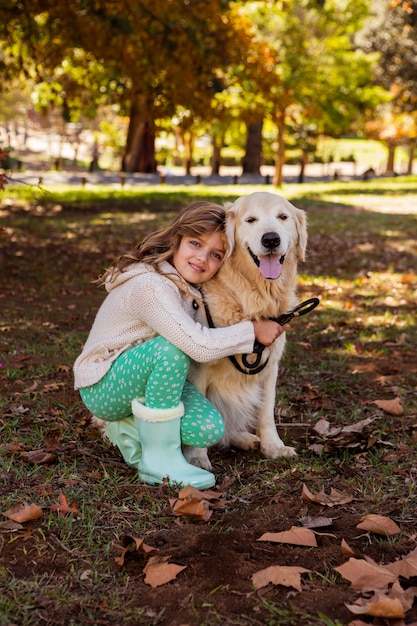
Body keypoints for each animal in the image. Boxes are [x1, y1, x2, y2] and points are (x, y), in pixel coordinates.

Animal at [184, 190, 308, 468]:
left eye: (283, 217)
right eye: (250, 220)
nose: (271, 239)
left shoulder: (270, 366)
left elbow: (266, 411)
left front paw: (273, 447)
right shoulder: (198, 368)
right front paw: (196, 457)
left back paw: (244, 438)